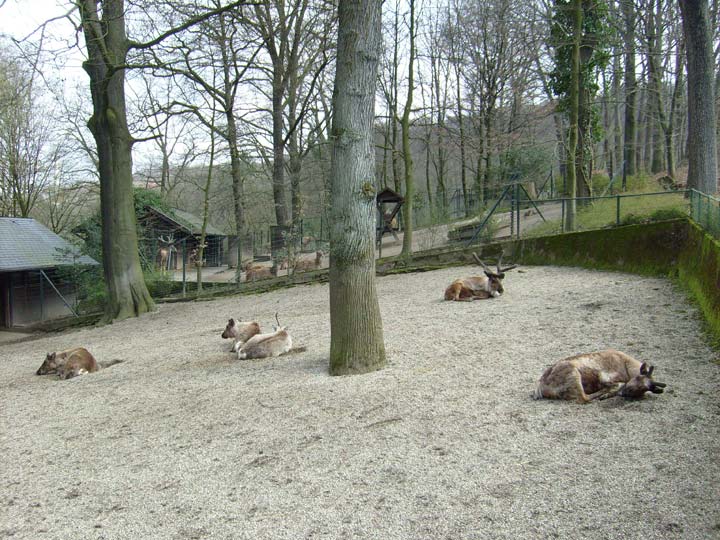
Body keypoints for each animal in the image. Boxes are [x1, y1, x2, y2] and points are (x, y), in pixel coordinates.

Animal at [532, 348, 668, 402]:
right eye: (637, 378)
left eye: (643, 390)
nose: (623, 394)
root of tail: (541, 387)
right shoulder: (605, 376)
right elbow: (617, 384)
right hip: (574, 374)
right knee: (584, 398)